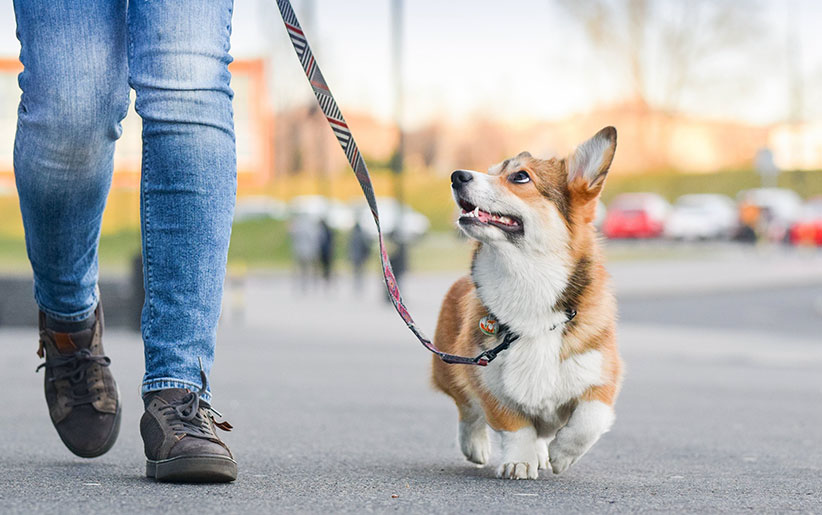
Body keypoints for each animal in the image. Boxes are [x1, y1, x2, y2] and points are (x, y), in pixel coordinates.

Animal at [434, 128, 620, 480]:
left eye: (520, 176)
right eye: (491, 171)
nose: (456, 175)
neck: (528, 281)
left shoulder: (602, 375)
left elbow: (589, 420)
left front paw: (562, 455)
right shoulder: (487, 379)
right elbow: (515, 426)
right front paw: (519, 461)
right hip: (449, 368)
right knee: (467, 410)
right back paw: (476, 446)